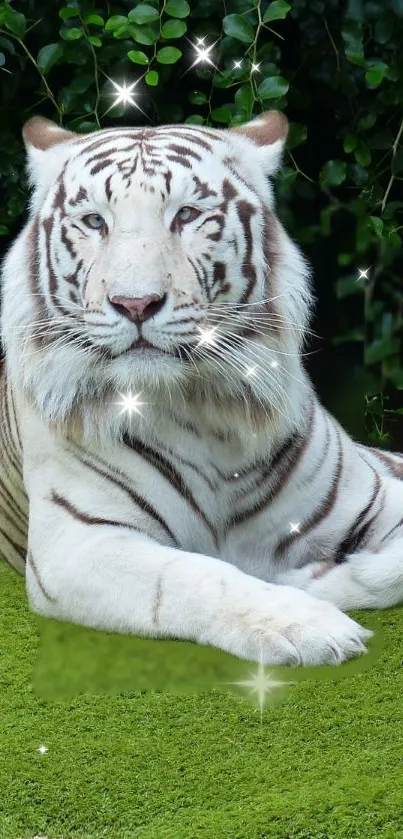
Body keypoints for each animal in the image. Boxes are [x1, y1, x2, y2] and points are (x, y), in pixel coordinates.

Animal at [0, 110, 403, 668]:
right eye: (96, 222)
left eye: (187, 215)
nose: (136, 303)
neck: (207, 410)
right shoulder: (76, 542)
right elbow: (193, 575)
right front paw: (308, 622)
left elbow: (391, 569)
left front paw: (312, 580)